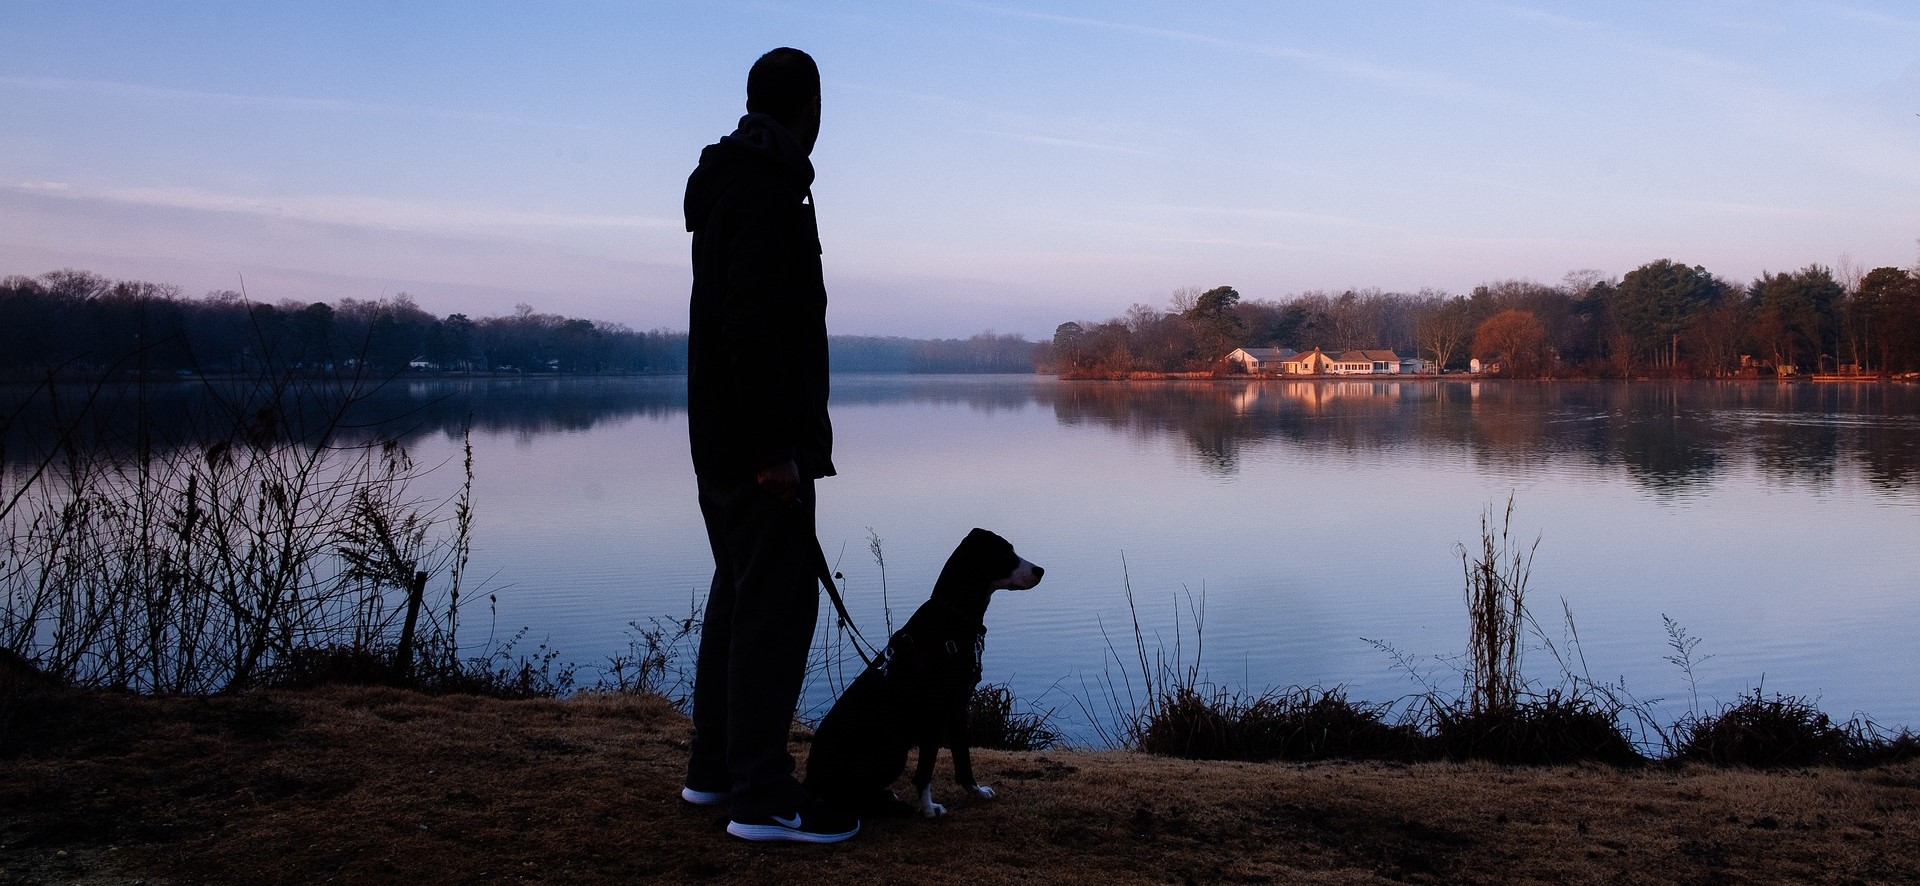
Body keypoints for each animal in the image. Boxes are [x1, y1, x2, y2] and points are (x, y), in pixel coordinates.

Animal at [802, 526, 1044, 818]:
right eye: (1005, 553)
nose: (1040, 570)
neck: (952, 618)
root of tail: (809, 780)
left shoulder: (958, 708)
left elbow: (963, 760)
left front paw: (976, 792)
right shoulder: (936, 714)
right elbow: (925, 770)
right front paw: (929, 809)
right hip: (892, 752)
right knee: (847, 798)